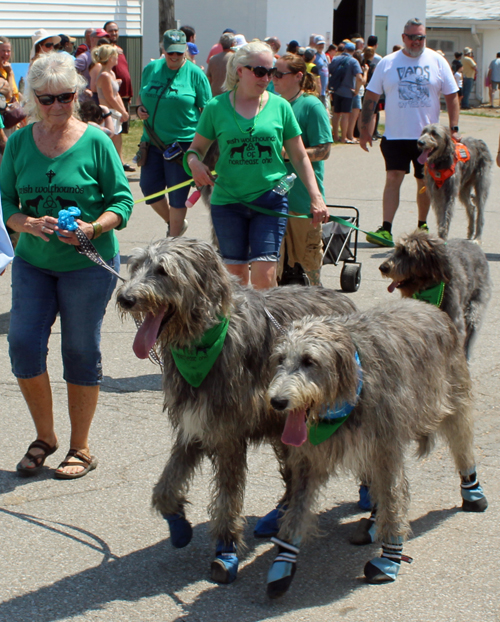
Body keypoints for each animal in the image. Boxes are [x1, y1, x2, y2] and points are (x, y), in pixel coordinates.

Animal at [116, 236, 356, 588]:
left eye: (162, 270)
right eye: (134, 266)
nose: (125, 298)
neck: (204, 342)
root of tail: (345, 301)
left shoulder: (227, 431)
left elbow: (228, 496)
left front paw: (226, 549)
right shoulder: (194, 424)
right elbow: (165, 487)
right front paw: (178, 522)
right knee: (291, 472)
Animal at [266, 302, 488, 600]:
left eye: (309, 361)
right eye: (280, 359)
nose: (277, 401)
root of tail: (430, 308)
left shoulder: (386, 443)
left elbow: (394, 495)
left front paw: (389, 557)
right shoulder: (311, 455)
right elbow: (298, 503)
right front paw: (284, 558)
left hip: (451, 393)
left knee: (461, 441)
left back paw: (472, 490)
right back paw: (372, 520)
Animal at [378, 230, 492, 360]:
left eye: (406, 252)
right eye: (397, 249)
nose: (383, 267)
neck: (429, 287)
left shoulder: (454, 322)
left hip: (475, 307)